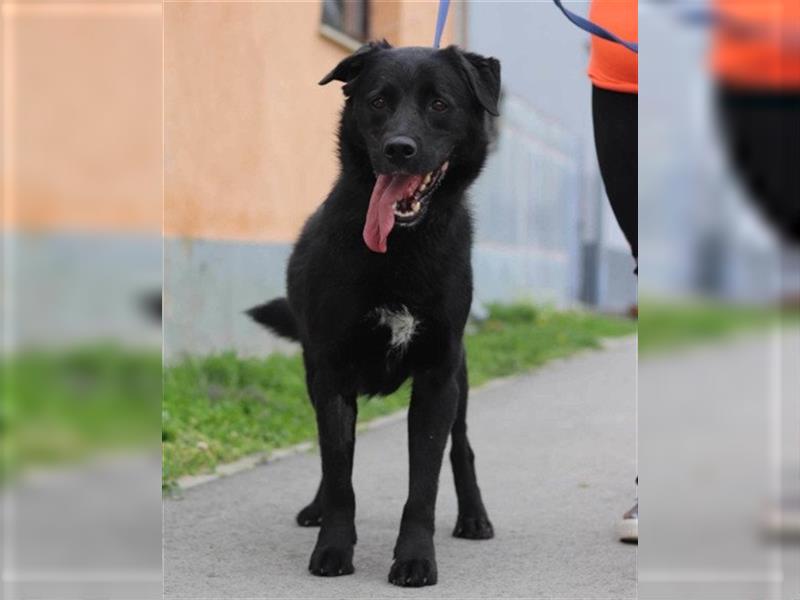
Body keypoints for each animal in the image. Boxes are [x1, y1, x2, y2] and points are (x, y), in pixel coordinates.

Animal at [250, 41, 500, 584]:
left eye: (440, 104)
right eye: (378, 101)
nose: (399, 149)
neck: (400, 250)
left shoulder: (436, 378)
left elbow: (423, 486)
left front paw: (415, 558)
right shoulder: (331, 374)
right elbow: (339, 473)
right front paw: (333, 547)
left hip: (460, 378)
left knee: (463, 447)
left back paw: (474, 517)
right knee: (331, 459)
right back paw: (317, 508)